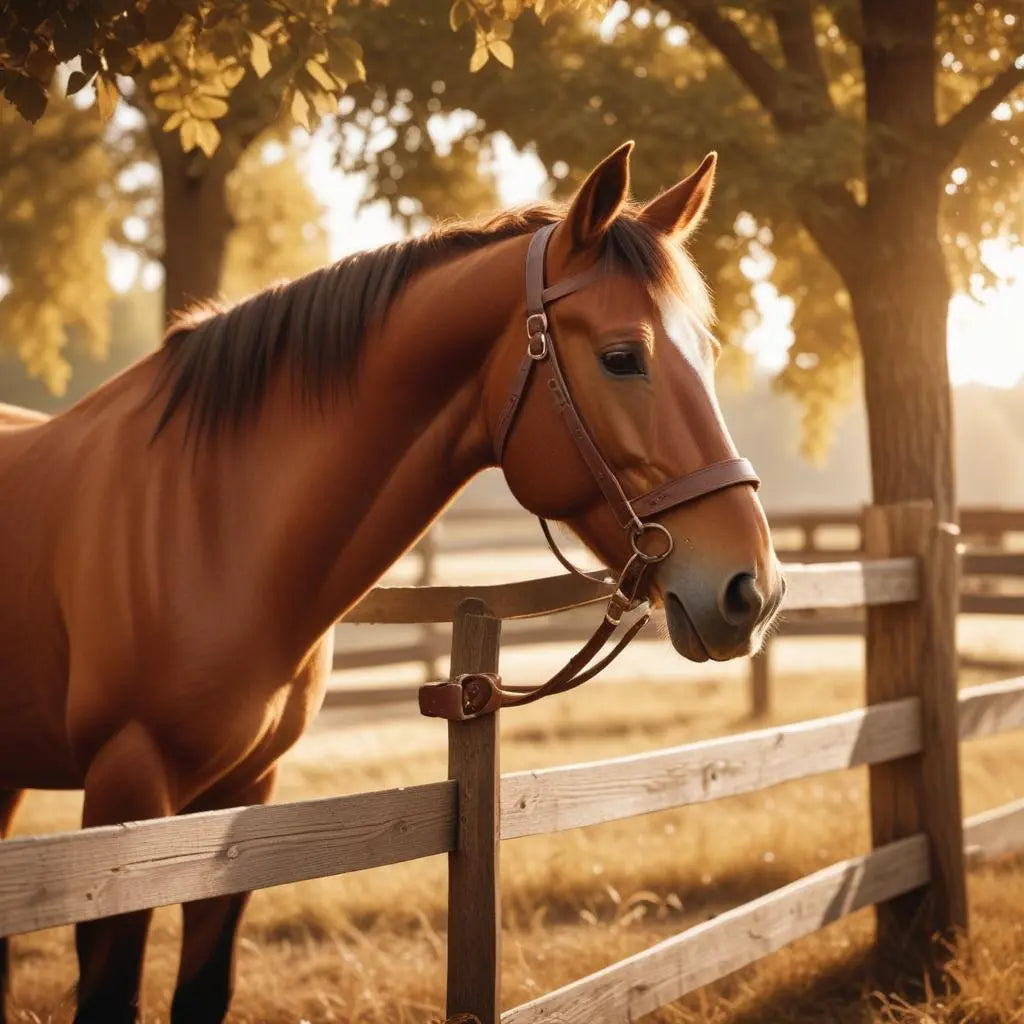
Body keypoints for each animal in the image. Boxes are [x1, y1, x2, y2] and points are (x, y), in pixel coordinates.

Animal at [0, 146, 782, 1024]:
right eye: (623, 356)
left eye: (707, 353)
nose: (753, 587)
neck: (207, 519)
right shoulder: (122, 811)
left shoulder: (240, 798)